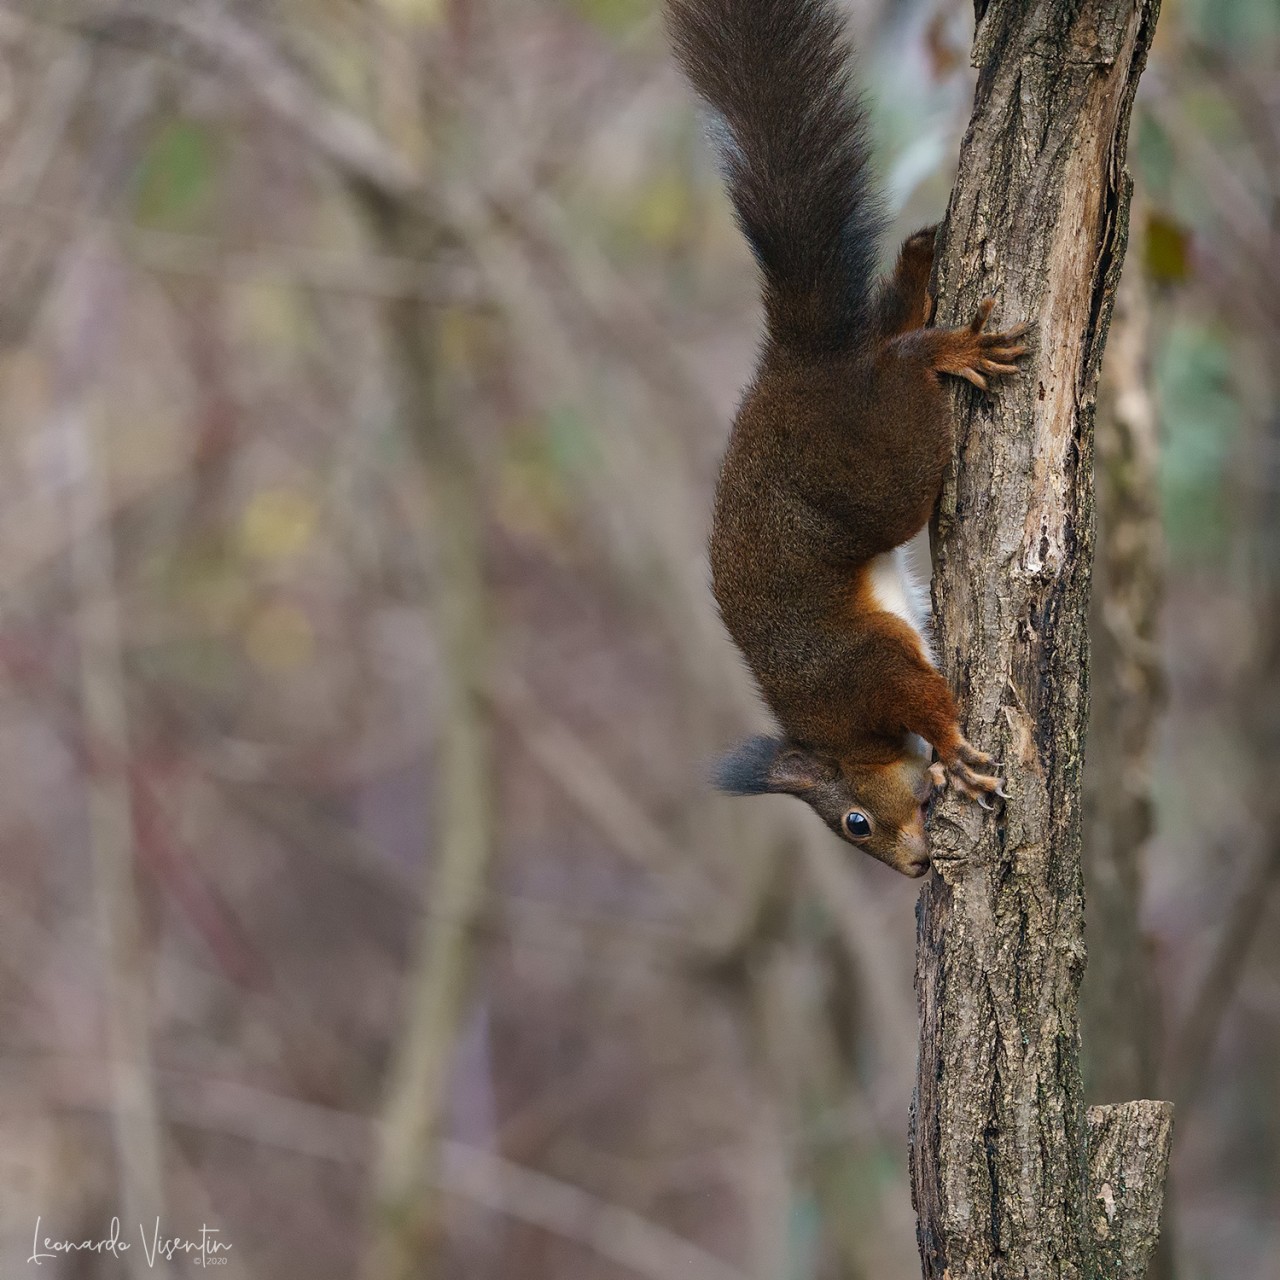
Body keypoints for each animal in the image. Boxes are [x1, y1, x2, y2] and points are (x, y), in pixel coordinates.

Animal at [667, 0, 1030, 876]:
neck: (844, 741)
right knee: (884, 330)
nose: (915, 868)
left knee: (899, 372)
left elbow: (923, 698)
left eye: (855, 824)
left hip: (869, 466)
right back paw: (918, 263)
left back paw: (940, 349)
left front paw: (952, 750)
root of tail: (796, 368)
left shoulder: (860, 671)